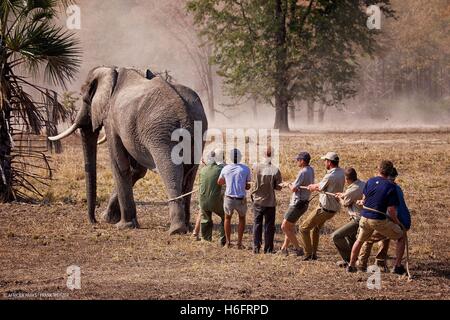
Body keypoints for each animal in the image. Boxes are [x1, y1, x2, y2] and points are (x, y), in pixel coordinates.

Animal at [50, 66, 208, 234]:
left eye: (85, 98)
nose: (93, 221)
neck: (112, 71)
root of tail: (185, 111)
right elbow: (136, 170)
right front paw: (108, 218)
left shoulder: (111, 119)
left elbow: (119, 165)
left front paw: (123, 225)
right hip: (198, 130)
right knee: (189, 174)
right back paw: (188, 226)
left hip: (163, 134)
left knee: (170, 170)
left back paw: (176, 230)